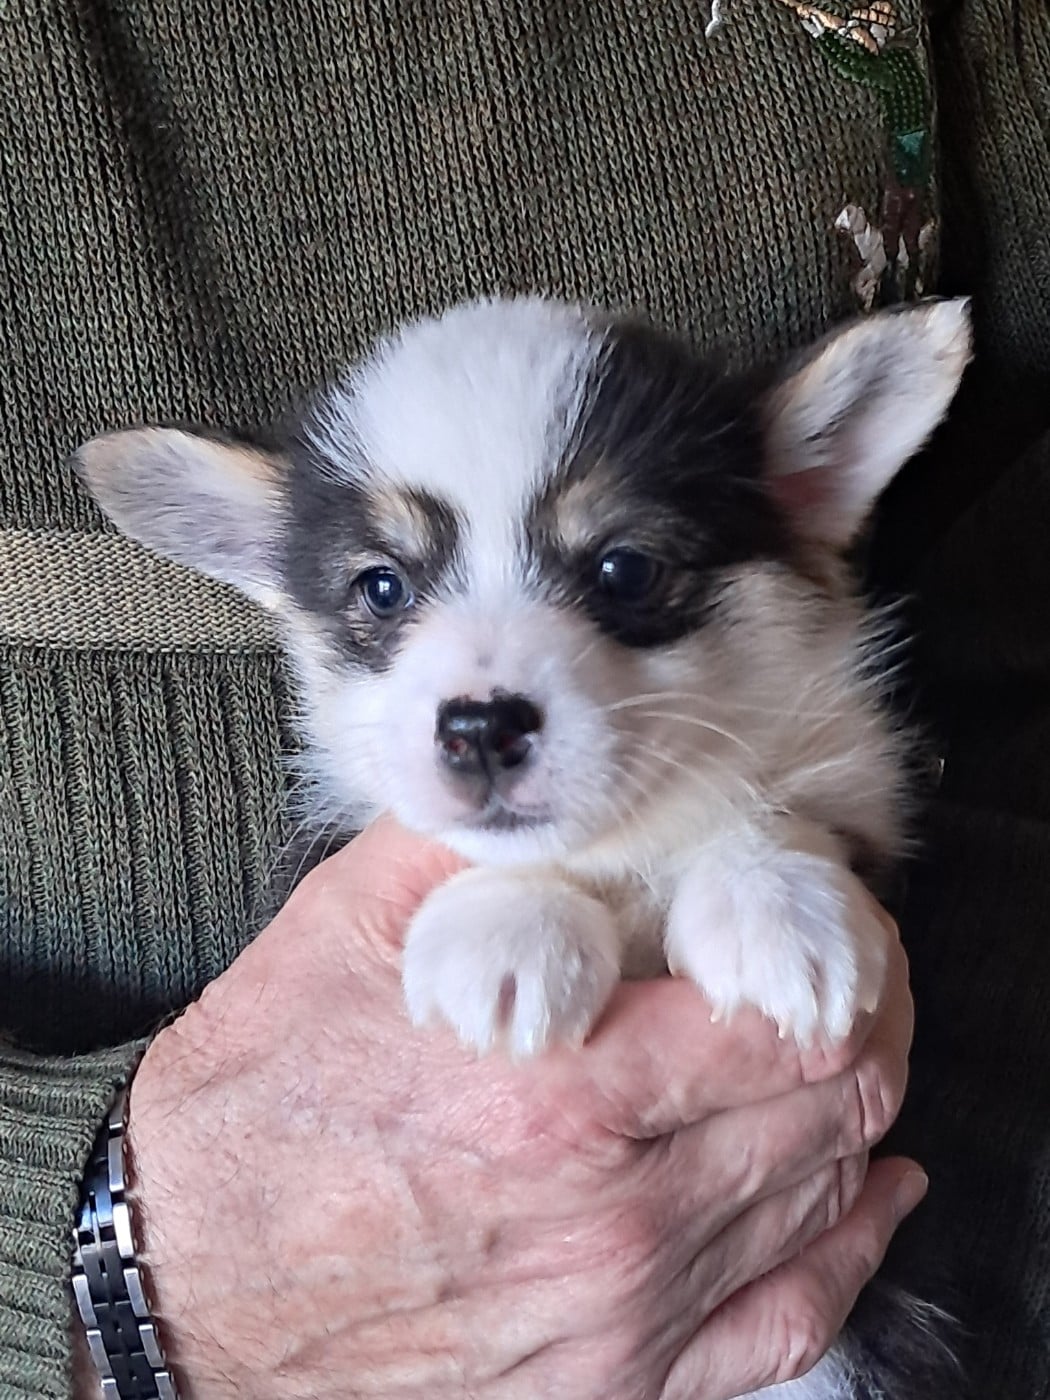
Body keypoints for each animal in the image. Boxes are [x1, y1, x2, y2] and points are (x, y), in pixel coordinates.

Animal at [76, 293, 971, 1398]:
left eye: (623, 568)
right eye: (382, 587)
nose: (478, 727)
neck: (619, 842)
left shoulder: (861, 799)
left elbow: (760, 808)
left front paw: (773, 904)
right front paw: (509, 930)